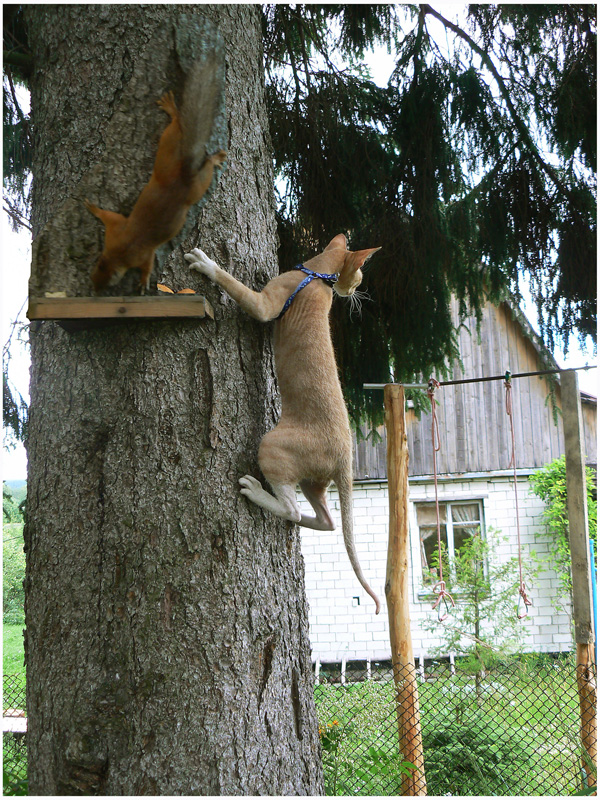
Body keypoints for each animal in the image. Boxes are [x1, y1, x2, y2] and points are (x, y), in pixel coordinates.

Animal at [88, 56, 229, 294]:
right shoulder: (114, 233)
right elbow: (107, 216)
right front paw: (92, 208)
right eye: (96, 268)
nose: (94, 290)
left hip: (176, 159)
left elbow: (147, 262)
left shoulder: (135, 246)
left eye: (108, 283)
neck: (122, 250)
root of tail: (185, 174)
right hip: (179, 164)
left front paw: (143, 282)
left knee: (181, 128)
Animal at [184, 233, 380, 612]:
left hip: (274, 445)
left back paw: (257, 492)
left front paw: (207, 264)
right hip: (314, 479)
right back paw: (309, 518)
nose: (352, 293)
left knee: (291, 511)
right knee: (327, 521)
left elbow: (236, 286)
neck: (315, 274)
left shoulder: (265, 305)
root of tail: (345, 458)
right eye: (359, 278)